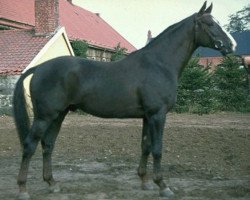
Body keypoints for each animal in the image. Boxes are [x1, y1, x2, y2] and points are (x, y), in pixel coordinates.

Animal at [13, 1, 236, 200]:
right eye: (210, 23)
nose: (231, 45)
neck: (159, 64)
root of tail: (39, 68)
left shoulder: (147, 116)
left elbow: (146, 146)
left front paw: (145, 181)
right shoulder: (158, 115)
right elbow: (157, 149)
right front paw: (163, 186)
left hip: (59, 115)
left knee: (48, 145)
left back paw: (52, 184)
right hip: (44, 116)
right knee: (29, 145)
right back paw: (23, 189)